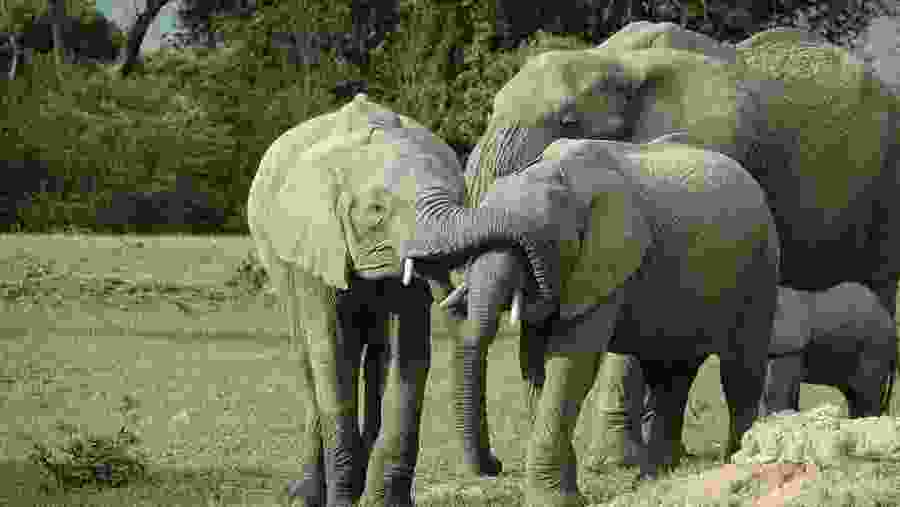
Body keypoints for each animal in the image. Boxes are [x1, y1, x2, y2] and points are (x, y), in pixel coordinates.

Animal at [246, 93, 466, 507]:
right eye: (376, 211)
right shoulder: (314, 244)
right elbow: (331, 354)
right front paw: (341, 500)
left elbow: (408, 355)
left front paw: (384, 503)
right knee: (309, 360)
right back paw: (306, 495)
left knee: (377, 357)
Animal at [401, 137, 781, 505]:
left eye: (527, 250)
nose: (495, 464)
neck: (564, 178)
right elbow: (533, 363)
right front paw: (564, 494)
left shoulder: (603, 262)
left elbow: (572, 361)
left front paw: (555, 501)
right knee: (670, 372)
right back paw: (654, 478)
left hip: (760, 269)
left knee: (739, 369)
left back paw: (733, 462)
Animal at [456, 22, 900, 473]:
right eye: (492, 110)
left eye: (568, 120)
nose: (495, 465)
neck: (617, 62)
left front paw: (615, 463)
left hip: (884, 194)